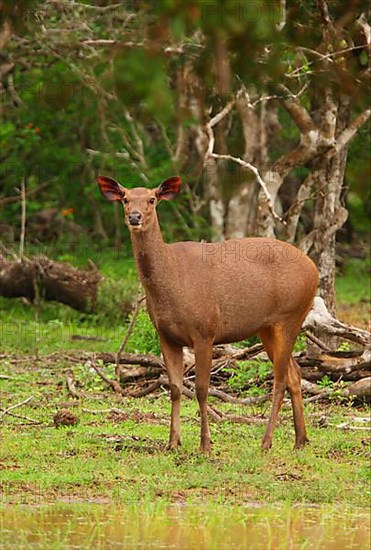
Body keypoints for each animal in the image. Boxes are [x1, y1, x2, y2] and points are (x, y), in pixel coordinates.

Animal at [97, 176, 318, 452]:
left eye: (152, 199)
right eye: (125, 199)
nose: (134, 216)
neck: (170, 284)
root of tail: (314, 269)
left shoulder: (205, 330)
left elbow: (202, 389)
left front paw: (205, 445)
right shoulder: (166, 336)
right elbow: (175, 387)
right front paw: (173, 443)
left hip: (291, 315)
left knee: (279, 379)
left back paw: (266, 442)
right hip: (266, 328)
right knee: (294, 374)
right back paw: (300, 440)